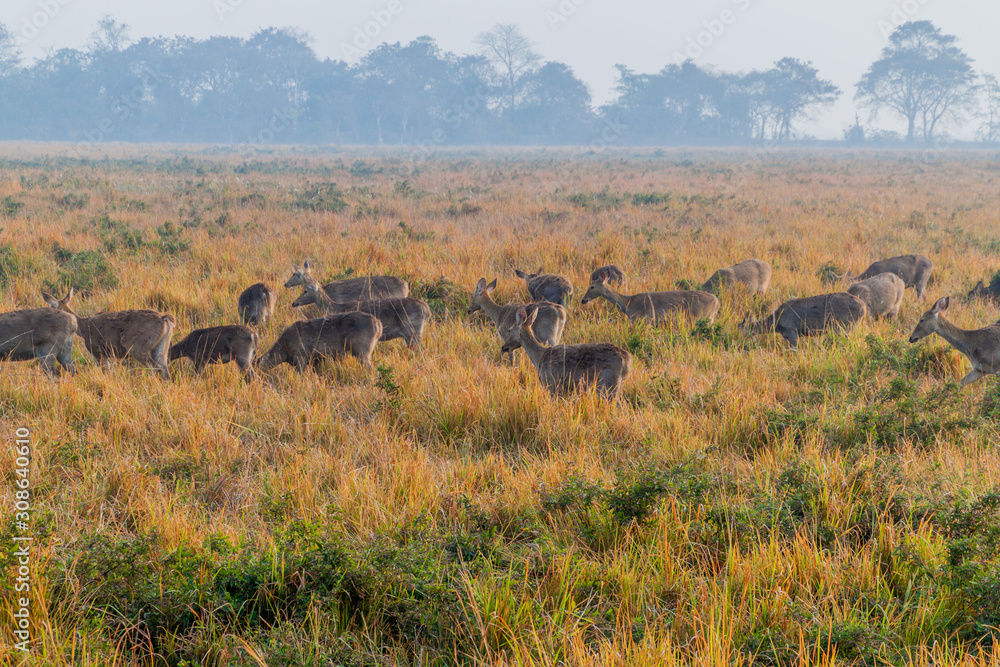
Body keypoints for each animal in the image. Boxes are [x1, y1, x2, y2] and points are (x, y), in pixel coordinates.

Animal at [42, 288, 175, 379]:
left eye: (53, 307)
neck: (83, 328)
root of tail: (164, 318)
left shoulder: (97, 350)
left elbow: (104, 370)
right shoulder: (105, 353)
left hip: (138, 346)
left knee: (154, 367)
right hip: (161, 347)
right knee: (164, 369)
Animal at [581, 268, 720, 324]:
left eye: (591, 286)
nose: (583, 300)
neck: (627, 303)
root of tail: (716, 302)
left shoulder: (641, 319)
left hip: (701, 316)